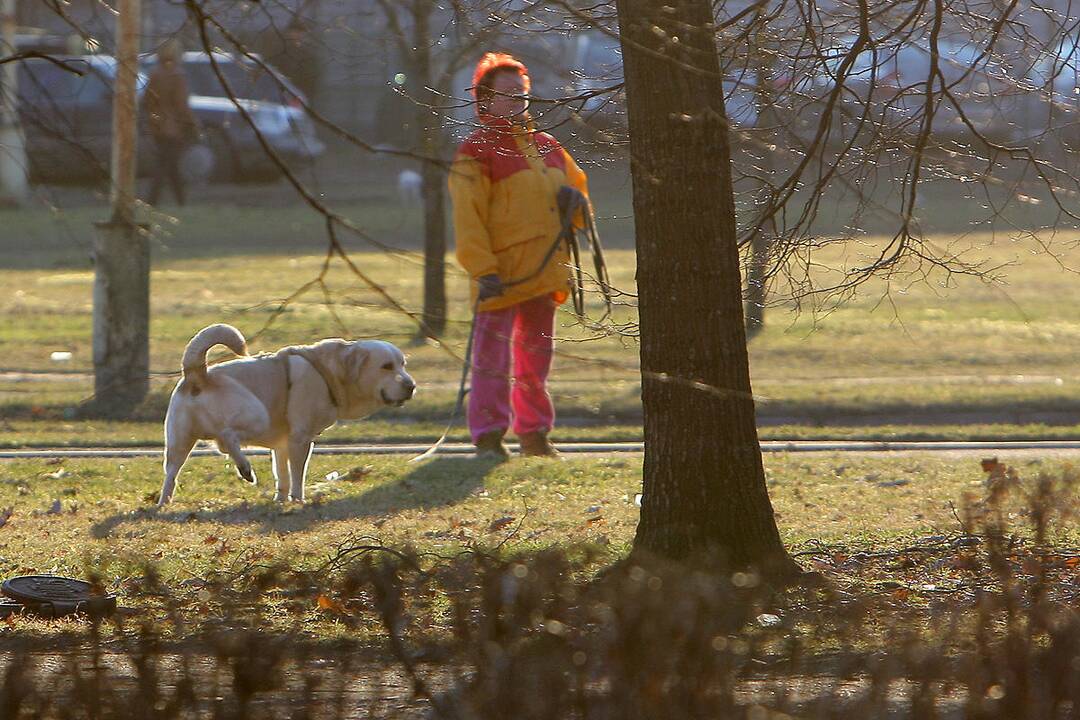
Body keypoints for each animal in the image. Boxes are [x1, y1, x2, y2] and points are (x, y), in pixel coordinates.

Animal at [157, 323, 414, 505]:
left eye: (403, 364)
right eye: (386, 366)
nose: (411, 386)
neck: (331, 371)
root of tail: (198, 373)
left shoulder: (282, 444)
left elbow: (282, 474)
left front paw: (280, 500)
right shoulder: (301, 438)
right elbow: (297, 474)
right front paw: (298, 500)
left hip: (178, 442)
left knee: (172, 472)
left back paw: (164, 503)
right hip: (257, 415)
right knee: (228, 436)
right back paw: (245, 469)